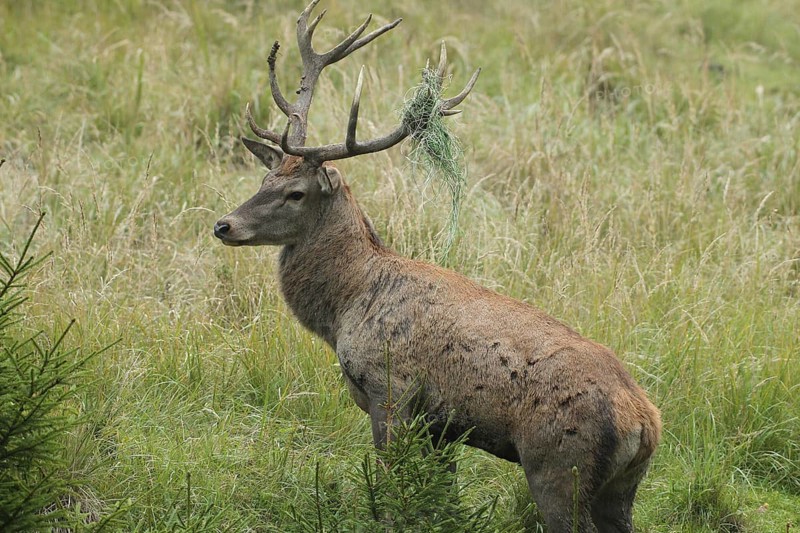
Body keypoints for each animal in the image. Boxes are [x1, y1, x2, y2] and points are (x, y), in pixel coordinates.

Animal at [213, 2, 661, 531]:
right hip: (620, 487)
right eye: (264, 179)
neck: (347, 307)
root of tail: (644, 422)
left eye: (295, 193)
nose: (224, 225)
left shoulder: (392, 391)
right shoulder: (440, 424)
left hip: (556, 464)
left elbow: (392, 485)